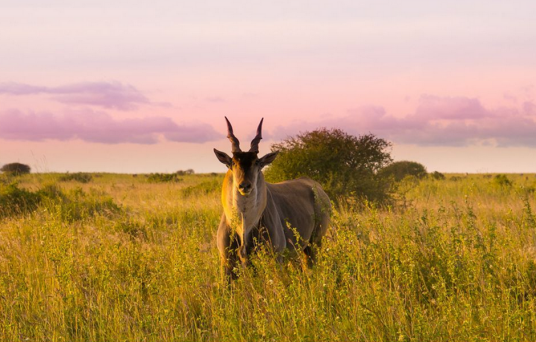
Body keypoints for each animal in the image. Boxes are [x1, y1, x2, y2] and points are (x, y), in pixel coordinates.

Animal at [214, 117, 330, 280]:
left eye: (256, 162)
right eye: (233, 163)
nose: (245, 186)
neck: (244, 227)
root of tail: (319, 190)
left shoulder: (275, 258)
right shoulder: (226, 262)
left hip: (314, 244)